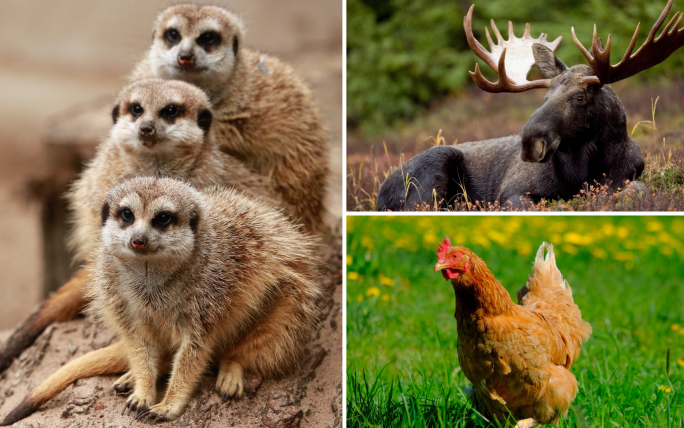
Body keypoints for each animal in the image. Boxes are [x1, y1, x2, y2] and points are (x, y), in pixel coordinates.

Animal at [374, 0, 684, 211]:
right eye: (545, 98)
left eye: (580, 97)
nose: (529, 143)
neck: (585, 172)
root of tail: (380, 192)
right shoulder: (513, 192)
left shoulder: (628, 176)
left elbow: (636, 189)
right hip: (430, 176)